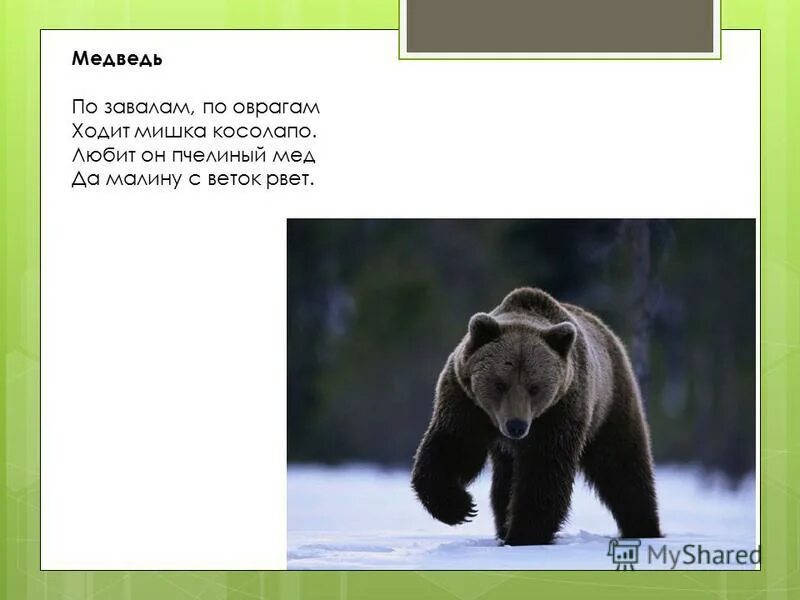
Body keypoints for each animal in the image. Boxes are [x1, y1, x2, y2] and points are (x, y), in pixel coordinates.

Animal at [411, 287, 661, 545]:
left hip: (610, 404)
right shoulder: (466, 403)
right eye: (500, 384)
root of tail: (608, 332)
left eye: (534, 387)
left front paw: (524, 534)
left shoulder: (559, 411)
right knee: (504, 483)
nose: (516, 426)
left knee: (621, 465)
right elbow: (453, 447)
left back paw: (644, 527)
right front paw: (460, 507)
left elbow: (544, 471)